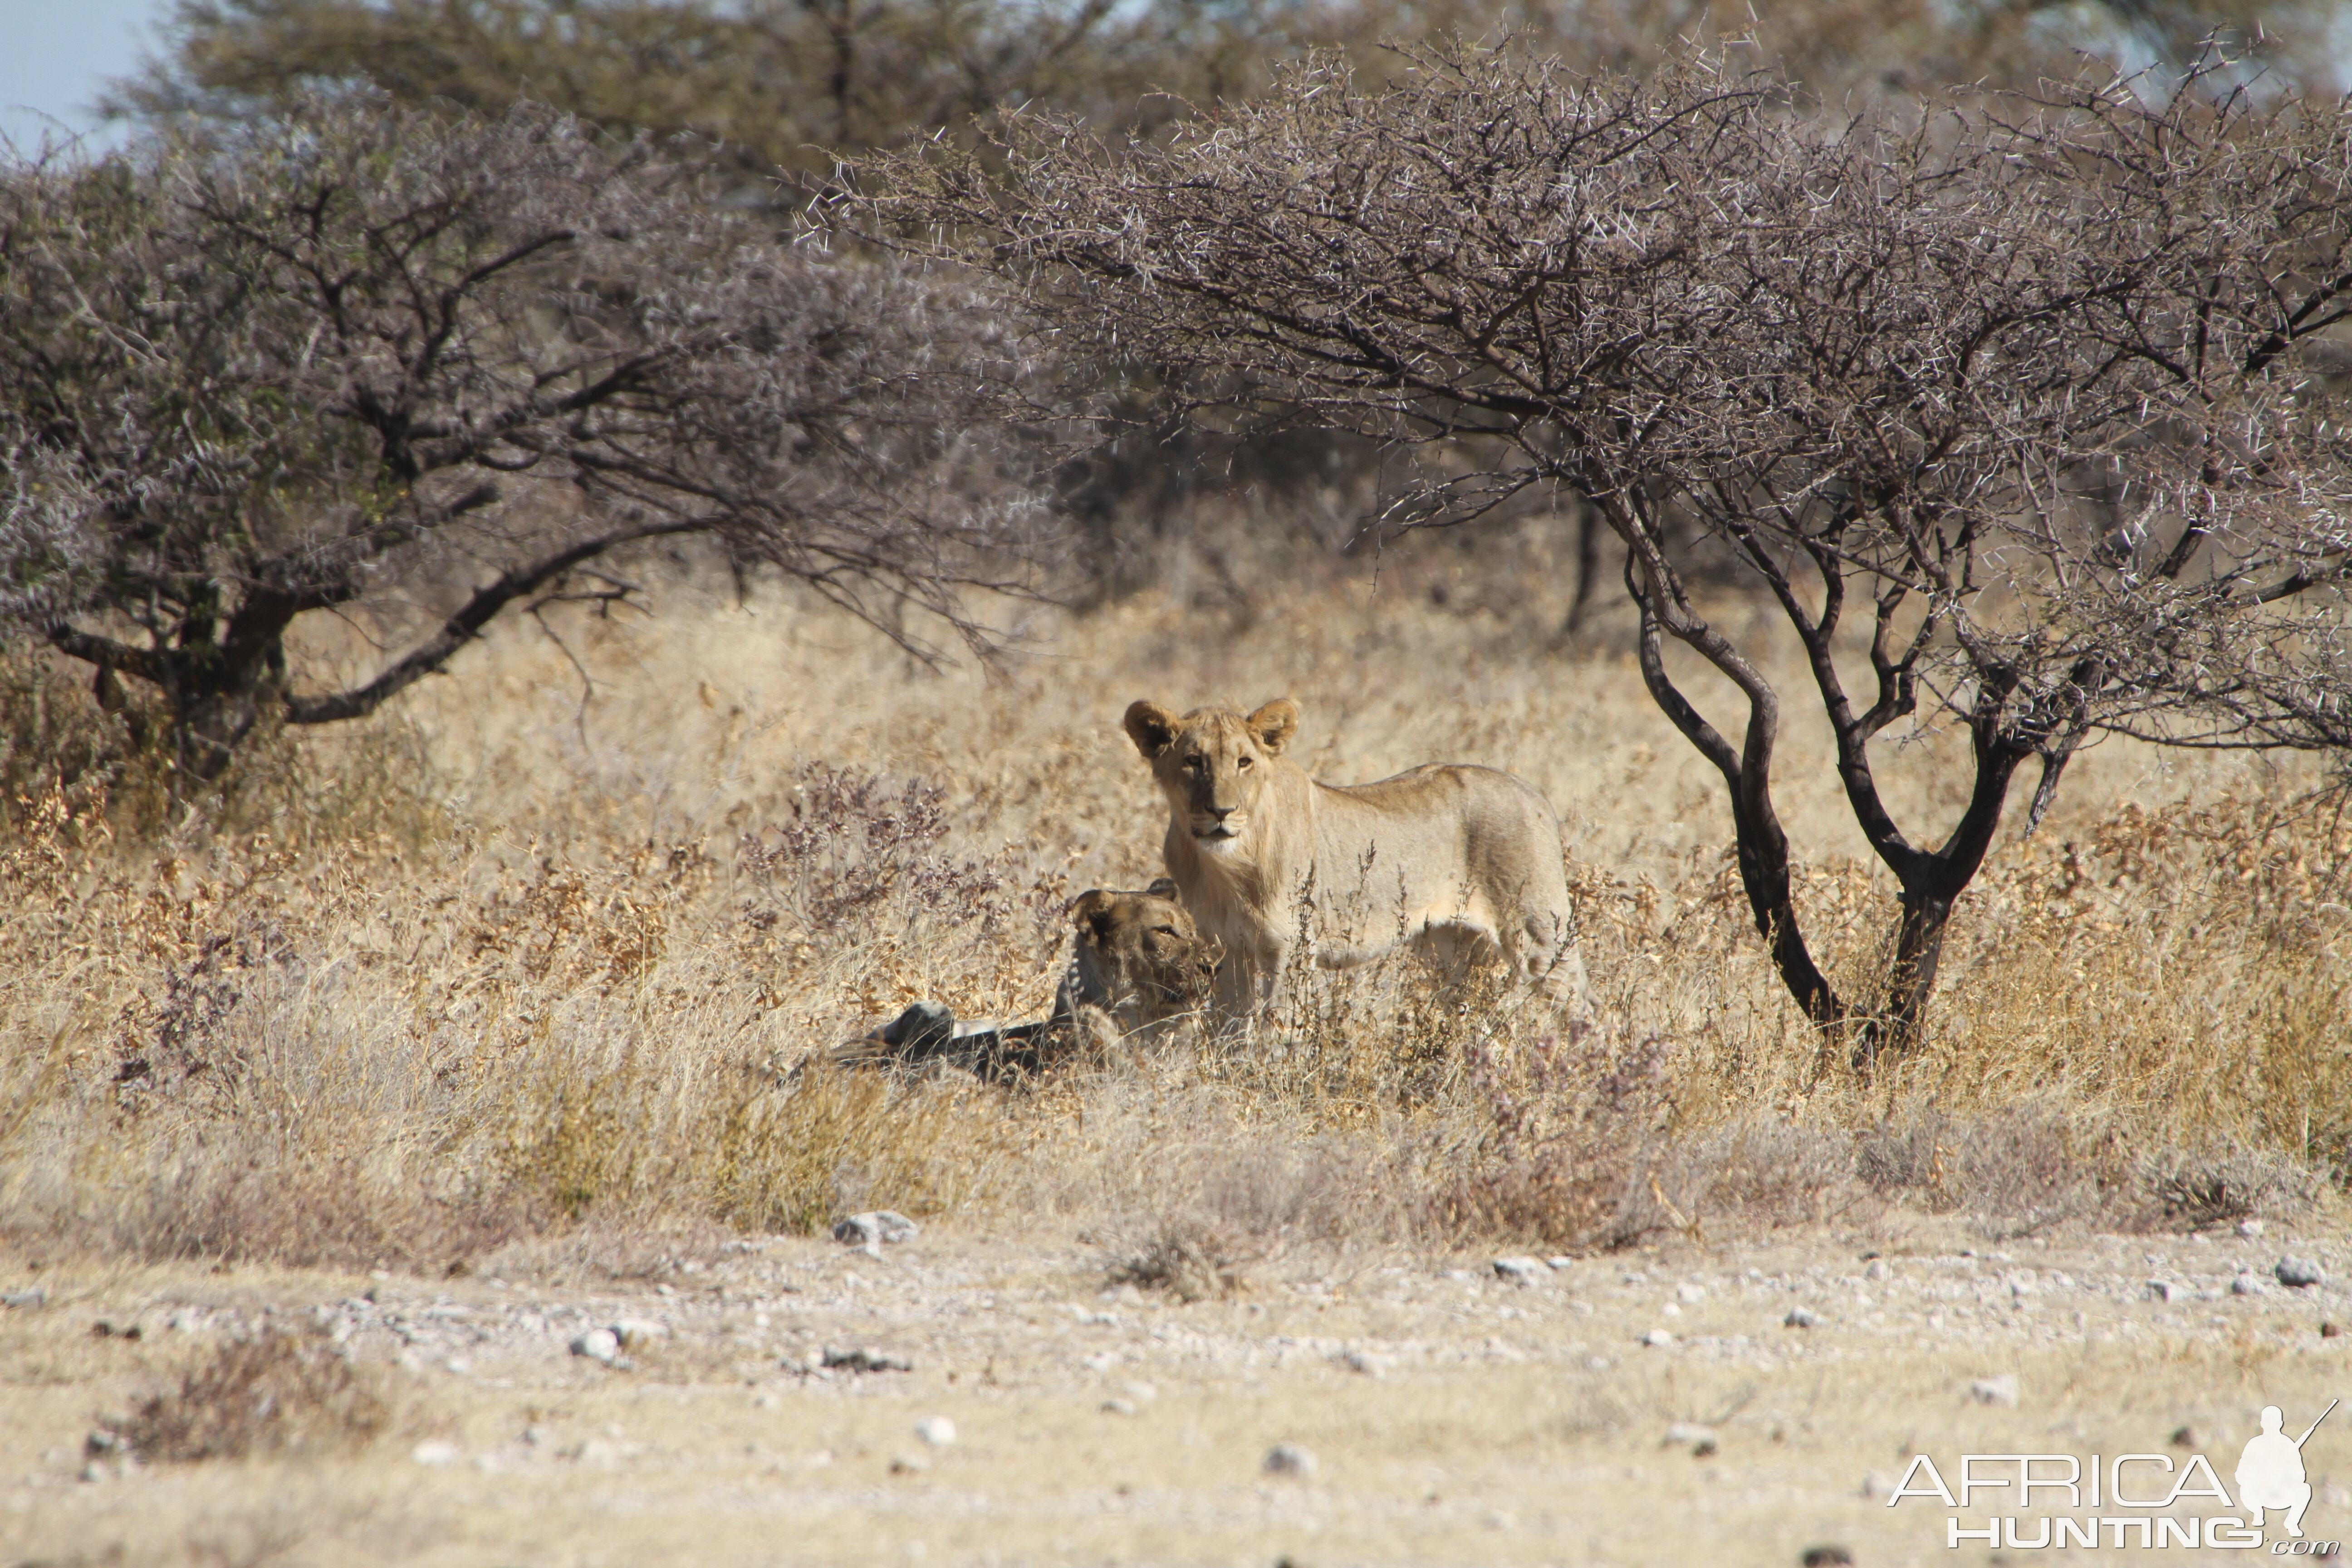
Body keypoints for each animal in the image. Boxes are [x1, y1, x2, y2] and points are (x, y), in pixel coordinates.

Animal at [1124, 701, 1599, 1029]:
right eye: (1193, 761)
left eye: (1244, 762)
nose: (1221, 812)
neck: (1224, 868)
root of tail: (1531, 791)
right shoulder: (1226, 949)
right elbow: (1231, 1028)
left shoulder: (1290, 948)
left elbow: (1275, 1028)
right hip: (1453, 950)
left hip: (1540, 936)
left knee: (1585, 1007)